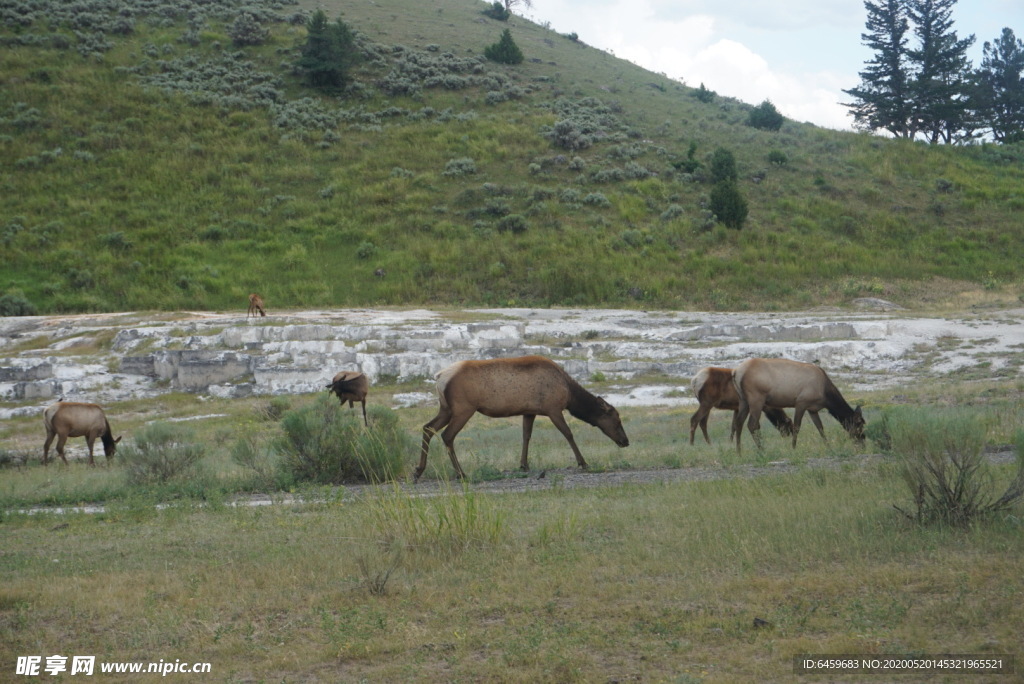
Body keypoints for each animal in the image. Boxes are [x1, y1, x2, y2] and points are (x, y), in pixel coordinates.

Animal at [413, 358, 622, 481]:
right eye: (616, 419)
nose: (625, 441)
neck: (569, 395)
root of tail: (439, 377)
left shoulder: (529, 411)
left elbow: (526, 436)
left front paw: (524, 465)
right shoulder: (553, 408)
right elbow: (568, 433)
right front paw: (583, 462)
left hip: (446, 408)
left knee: (428, 428)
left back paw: (418, 470)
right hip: (463, 408)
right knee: (447, 435)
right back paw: (460, 473)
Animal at [729, 358, 864, 454]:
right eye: (859, 424)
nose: (863, 443)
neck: (825, 394)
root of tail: (736, 372)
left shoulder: (812, 409)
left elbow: (820, 428)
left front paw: (828, 446)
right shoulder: (801, 402)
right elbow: (797, 427)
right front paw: (793, 448)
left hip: (743, 400)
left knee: (738, 423)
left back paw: (738, 451)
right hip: (756, 398)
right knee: (752, 425)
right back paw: (762, 450)